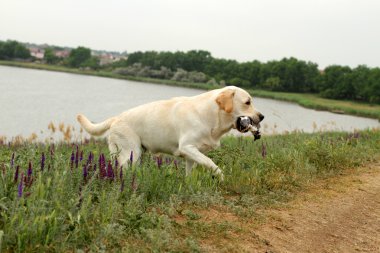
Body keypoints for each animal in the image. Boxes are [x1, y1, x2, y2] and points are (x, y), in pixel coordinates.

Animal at [75, 86, 262, 181]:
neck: (210, 115)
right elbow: (211, 163)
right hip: (132, 153)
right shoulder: (187, 147)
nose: (262, 116)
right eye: (247, 102)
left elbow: (191, 172)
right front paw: (221, 177)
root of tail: (116, 118)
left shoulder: (191, 154)